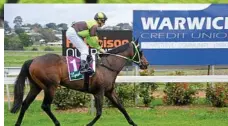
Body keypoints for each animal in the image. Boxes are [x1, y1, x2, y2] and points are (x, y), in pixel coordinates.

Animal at [10, 39, 150, 125]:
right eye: (141, 52)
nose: (146, 64)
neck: (107, 66)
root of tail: (33, 60)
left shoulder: (109, 92)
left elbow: (121, 107)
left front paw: (134, 123)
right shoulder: (99, 92)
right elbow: (99, 113)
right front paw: (87, 124)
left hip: (36, 87)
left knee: (25, 104)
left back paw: (17, 123)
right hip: (50, 86)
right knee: (45, 106)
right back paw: (58, 123)